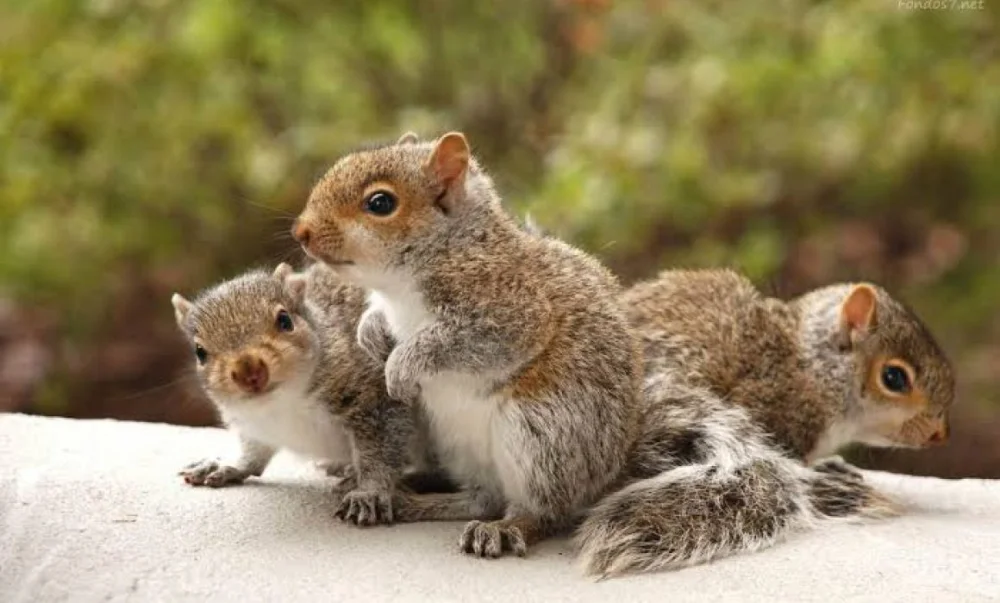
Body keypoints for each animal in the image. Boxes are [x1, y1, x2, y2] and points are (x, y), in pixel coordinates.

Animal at [171, 262, 418, 525]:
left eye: (285, 320)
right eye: (200, 352)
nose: (249, 371)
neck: (283, 403)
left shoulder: (373, 393)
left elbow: (380, 450)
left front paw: (369, 492)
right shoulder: (255, 425)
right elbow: (253, 451)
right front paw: (229, 464)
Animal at [291, 131, 642, 558]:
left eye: (380, 203)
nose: (301, 232)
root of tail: (604, 478)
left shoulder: (511, 310)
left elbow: (459, 342)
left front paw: (401, 366)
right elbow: (374, 315)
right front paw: (370, 334)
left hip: (541, 434)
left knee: (543, 511)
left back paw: (506, 528)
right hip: (454, 440)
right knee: (482, 499)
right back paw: (416, 500)